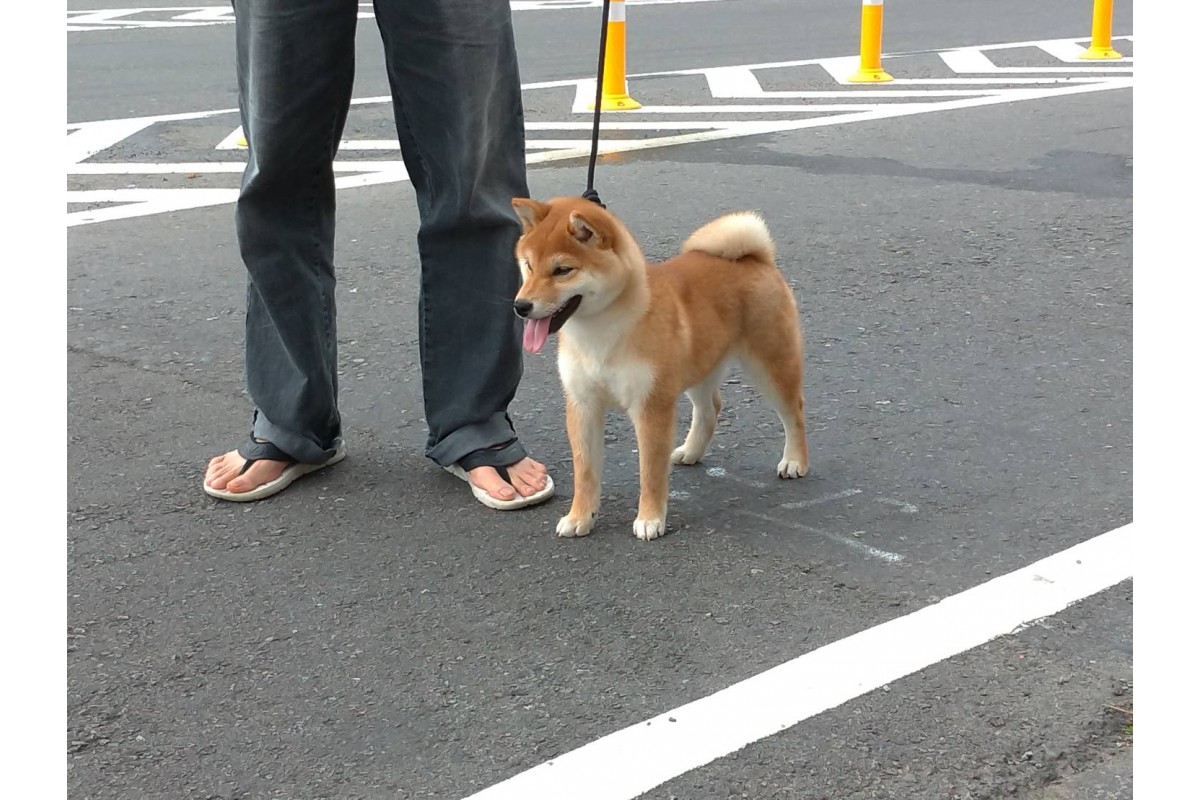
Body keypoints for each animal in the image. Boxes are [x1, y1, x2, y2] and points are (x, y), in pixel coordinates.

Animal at [511, 196, 811, 542]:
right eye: (528, 265)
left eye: (562, 270)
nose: (521, 306)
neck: (599, 333)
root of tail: (755, 258)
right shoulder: (582, 404)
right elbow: (584, 472)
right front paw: (580, 517)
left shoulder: (651, 405)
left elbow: (650, 471)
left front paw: (650, 519)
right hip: (698, 366)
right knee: (710, 409)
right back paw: (691, 451)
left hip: (770, 364)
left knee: (794, 413)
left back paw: (794, 460)